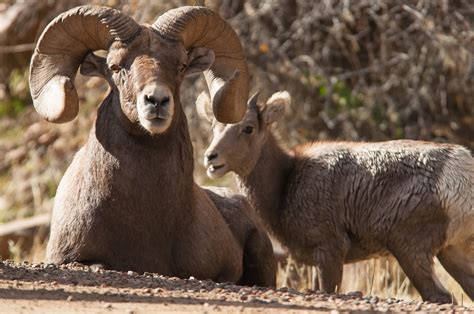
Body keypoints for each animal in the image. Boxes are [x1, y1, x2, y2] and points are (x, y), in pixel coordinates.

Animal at [200, 90, 474, 302]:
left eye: (248, 128)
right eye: (214, 127)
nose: (211, 158)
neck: (287, 181)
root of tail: (461, 173)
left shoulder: (329, 251)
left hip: (409, 249)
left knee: (439, 296)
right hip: (452, 251)